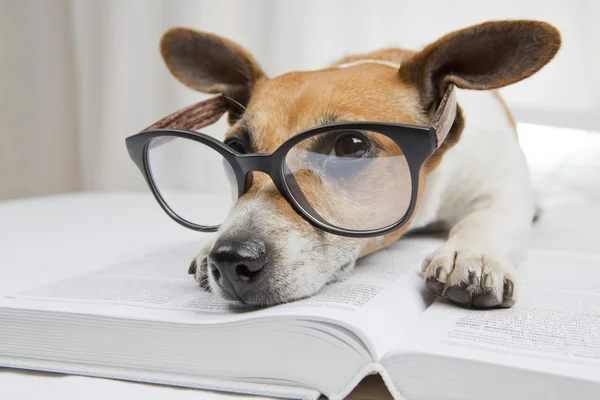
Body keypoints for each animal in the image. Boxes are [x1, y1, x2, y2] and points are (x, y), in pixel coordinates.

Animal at [161, 20, 564, 308]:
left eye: (351, 145)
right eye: (234, 147)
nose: (230, 259)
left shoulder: (501, 189)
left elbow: (487, 218)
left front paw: (473, 254)